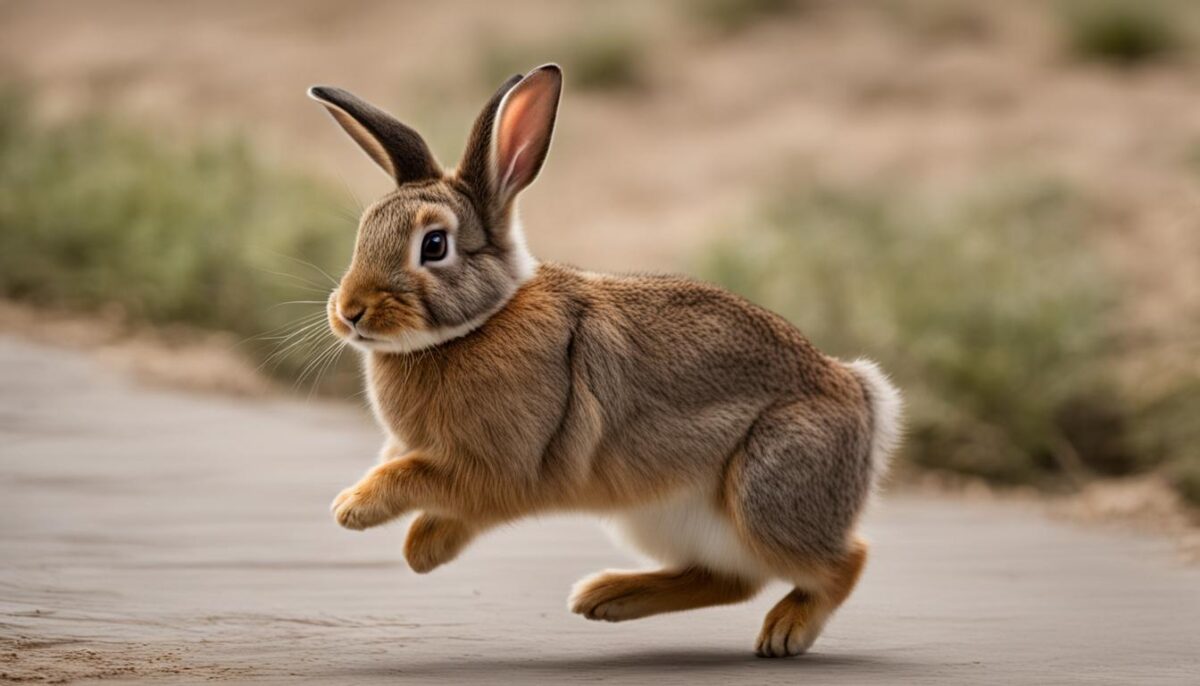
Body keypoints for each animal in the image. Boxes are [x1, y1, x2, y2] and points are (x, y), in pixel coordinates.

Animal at [309, 64, 902, 658]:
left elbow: (417, 476)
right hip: (660, 518)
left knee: (844, 561)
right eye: (364, 231)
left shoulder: (495, 467)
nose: (350, 311)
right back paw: (607, 597)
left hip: (766, 494)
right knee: (731, 578)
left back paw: (784, 631)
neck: (474, 326)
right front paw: (423, 548)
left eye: (434, 245)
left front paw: (356, 510)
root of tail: (861, 397)